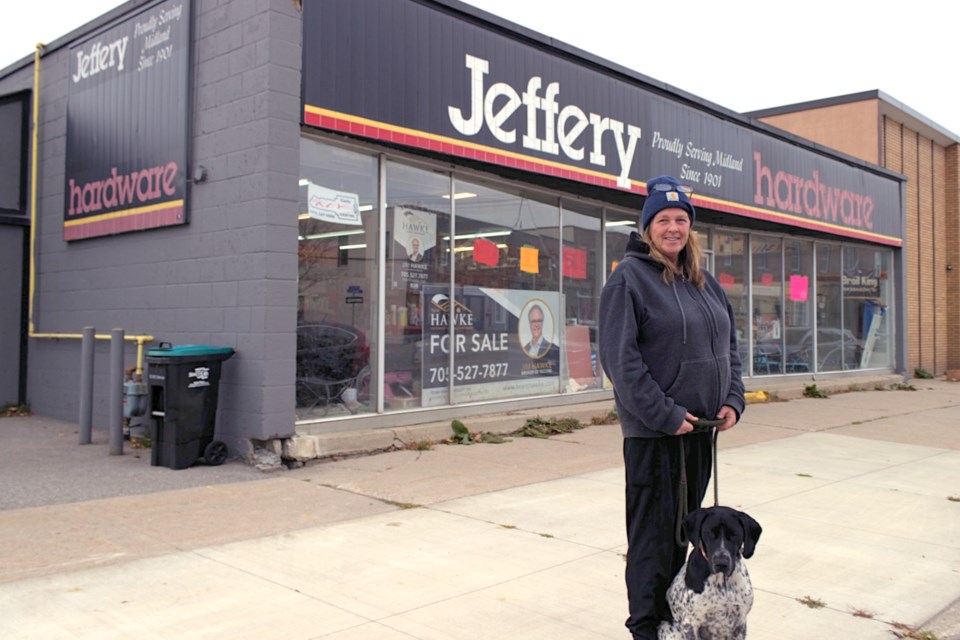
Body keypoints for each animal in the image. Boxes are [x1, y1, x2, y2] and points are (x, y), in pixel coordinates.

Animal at [656, 508, 760, 636]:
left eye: (734, 534)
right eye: (709, 533)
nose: (721, 563)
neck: (722, 583)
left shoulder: (740, 624)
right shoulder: (690, 624)